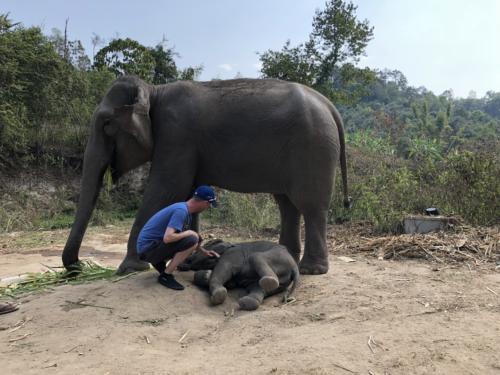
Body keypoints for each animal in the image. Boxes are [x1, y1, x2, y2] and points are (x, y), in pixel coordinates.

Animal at [62, 77, 350, 276]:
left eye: (107, 124)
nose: (78, 267)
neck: (154, 90)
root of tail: (330, 105)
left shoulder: (177, 136)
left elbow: (166, 190)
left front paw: (130, 268)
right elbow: (189, 192)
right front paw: (188, 258)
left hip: (313, 147)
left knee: (310, 205)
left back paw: (311, 270)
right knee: (287, 203)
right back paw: (287, 256)